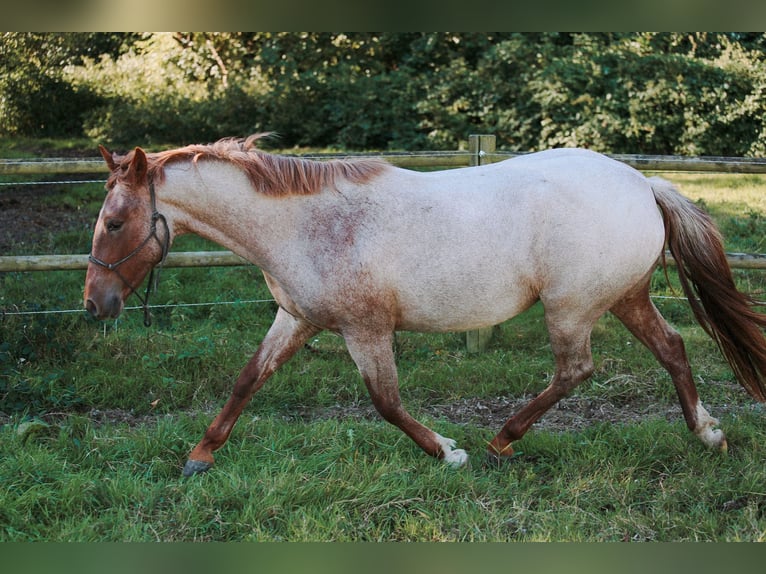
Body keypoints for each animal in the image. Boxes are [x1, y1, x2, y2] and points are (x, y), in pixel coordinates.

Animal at [82, 136, 766, 476]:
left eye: (114, 222)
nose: (95, 305)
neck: (307, 225)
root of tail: (642, 183)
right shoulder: (297, 319)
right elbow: (248, 380)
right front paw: (198, 460)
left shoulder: (365, 329)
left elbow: (386, 402)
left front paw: (449, 452)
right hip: (624, 296)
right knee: (672, 348)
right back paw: (708, 434)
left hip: (571, 308)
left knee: (575, 371)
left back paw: (499, 442)